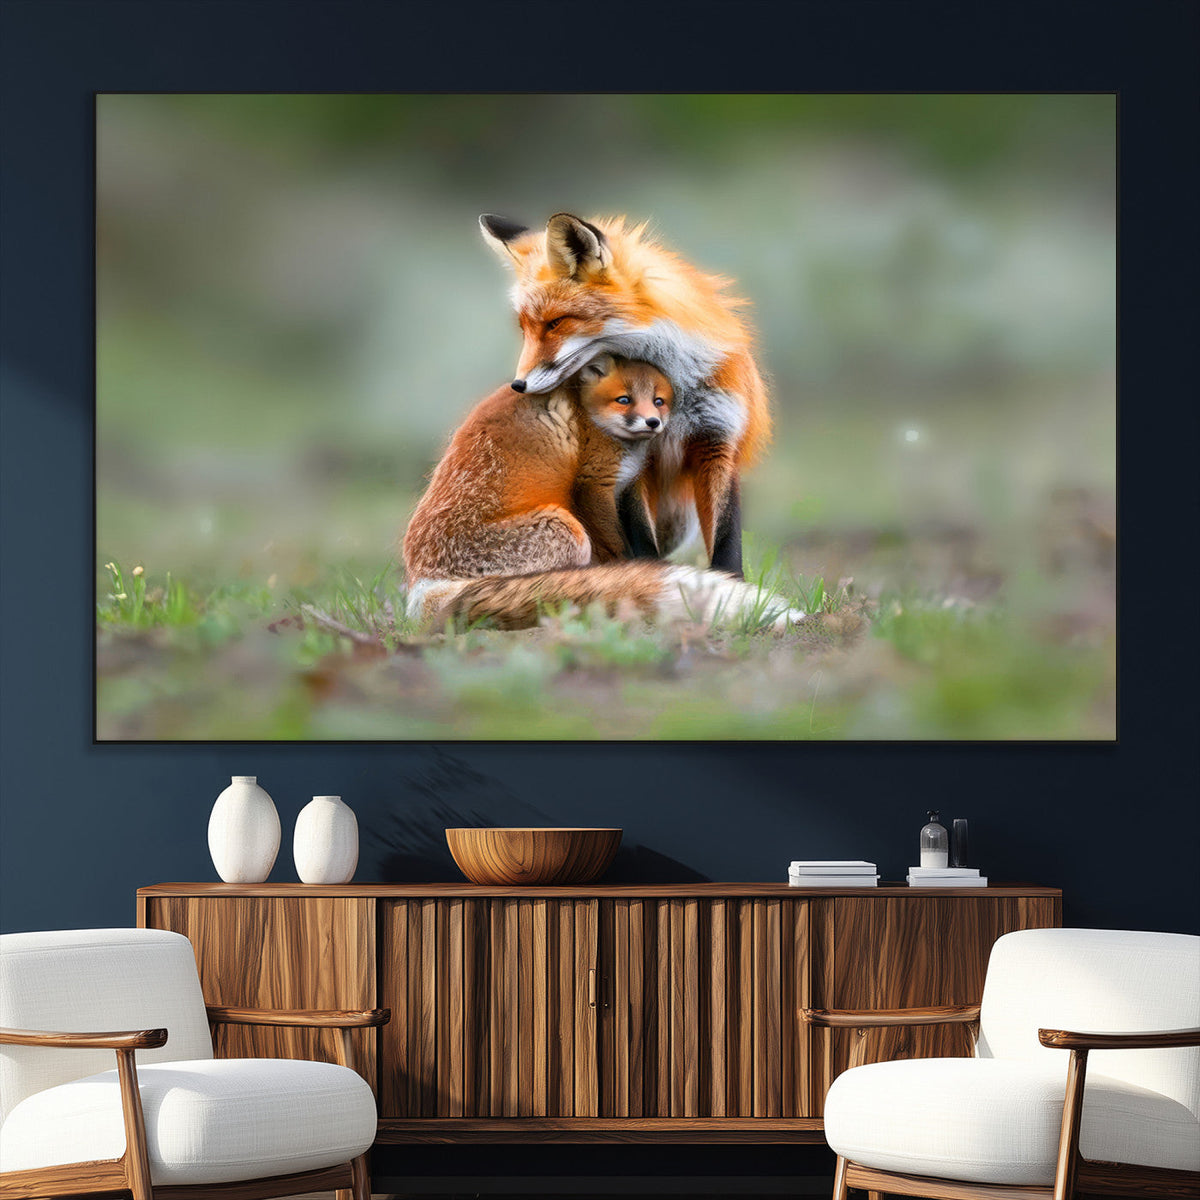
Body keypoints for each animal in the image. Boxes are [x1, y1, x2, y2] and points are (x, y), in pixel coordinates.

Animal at [479, 211, 772, 579]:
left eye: (555, 323)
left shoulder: (717, 443)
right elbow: (641, 539)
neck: (674, 390)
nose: (518, 385)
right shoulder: (633, 459)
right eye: (525, 329)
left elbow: (726, 541)